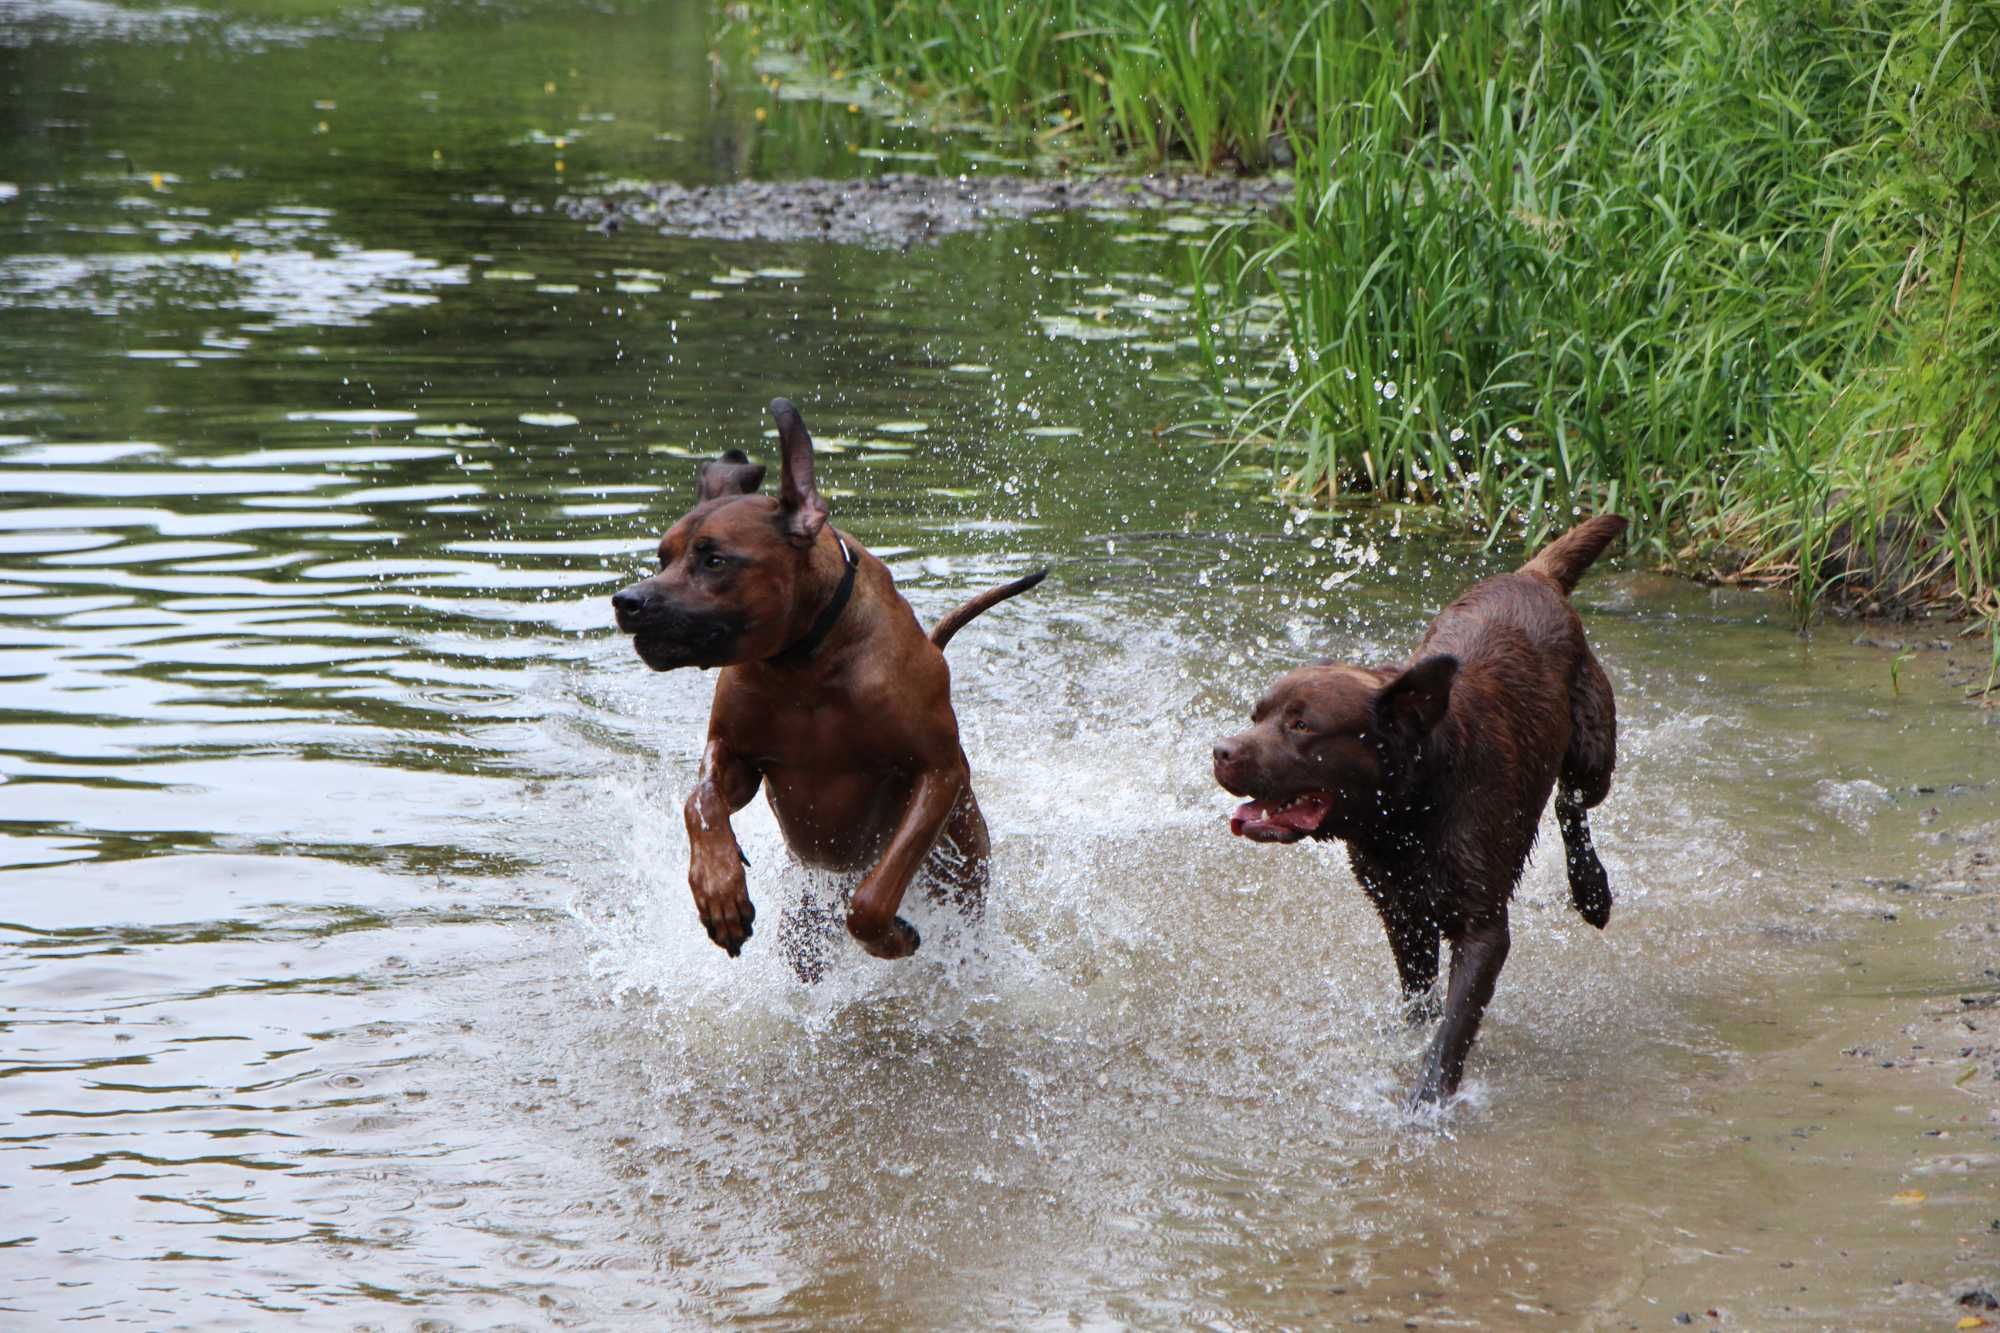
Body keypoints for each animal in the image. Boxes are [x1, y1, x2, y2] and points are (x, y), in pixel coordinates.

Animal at [608, 394, 1048, 964]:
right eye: (662, 557)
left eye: (715, 559)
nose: (627, 602)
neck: (806, 666)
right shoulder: (737, 754)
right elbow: (700, 802)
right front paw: (719, 888)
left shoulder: (937, 772)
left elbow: (872, 898)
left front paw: (888, 937)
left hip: (965, 878)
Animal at [1200, 512, 1624, 1104]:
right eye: (1256, 715)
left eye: (1302, 725)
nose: (1221, 751)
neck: (1409, 810)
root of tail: (1532, 575)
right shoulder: (1400, 910)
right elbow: (1419, 998)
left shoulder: (1482, 927)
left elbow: (1455, 1024)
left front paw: (1429, 1099)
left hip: (1592, 747)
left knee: (1572, 802)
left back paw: (1591, 891)